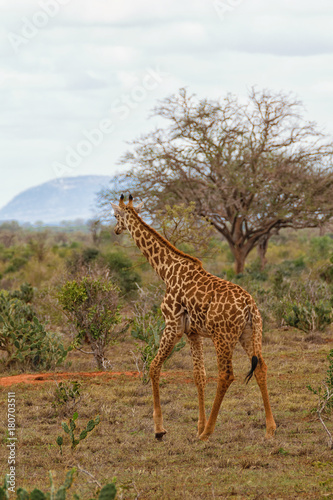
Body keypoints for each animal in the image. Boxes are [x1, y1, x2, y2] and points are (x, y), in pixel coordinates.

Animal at [111, 195, 274, 442]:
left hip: (223, 337)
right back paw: (269, 429)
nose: (116, 230)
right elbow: (199, 375)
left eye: (114, 215)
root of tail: (249, 306)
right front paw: (197, 426)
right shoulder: (193, 332)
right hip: (249, 334)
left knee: (227, 375)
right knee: (261, 367)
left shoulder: (173, 325)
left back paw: (208, 433)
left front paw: (160, 430)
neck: (166, 270)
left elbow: (154, 367)